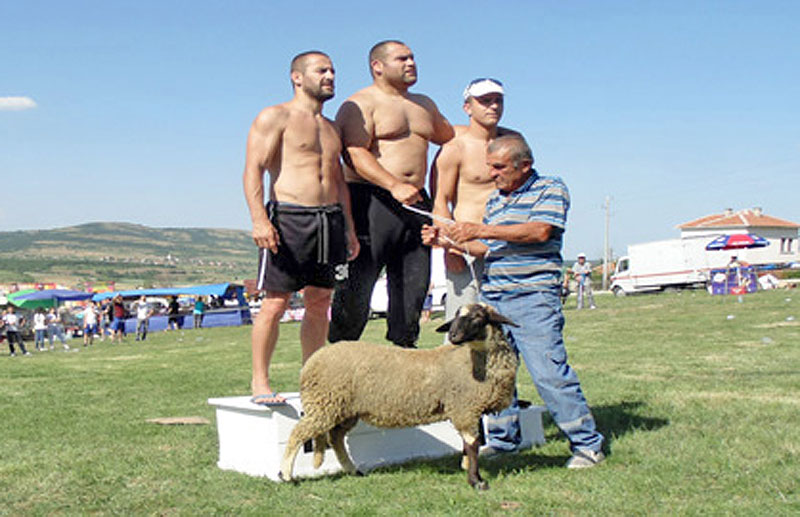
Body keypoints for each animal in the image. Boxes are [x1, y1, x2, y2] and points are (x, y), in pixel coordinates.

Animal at [279, 303, 519, 490]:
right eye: (456, 317)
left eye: (478, 317)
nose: (453, 336)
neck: (474, 359)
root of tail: (313, 360)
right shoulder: (464, 408)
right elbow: (472, 444)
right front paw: (476, 481)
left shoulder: (469, 410)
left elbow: (469, 445)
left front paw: (468, 469)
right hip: (324, 403)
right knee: (298, 434)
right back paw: (286, 475)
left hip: (343, 409)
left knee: (335, 438)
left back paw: (353, 470)